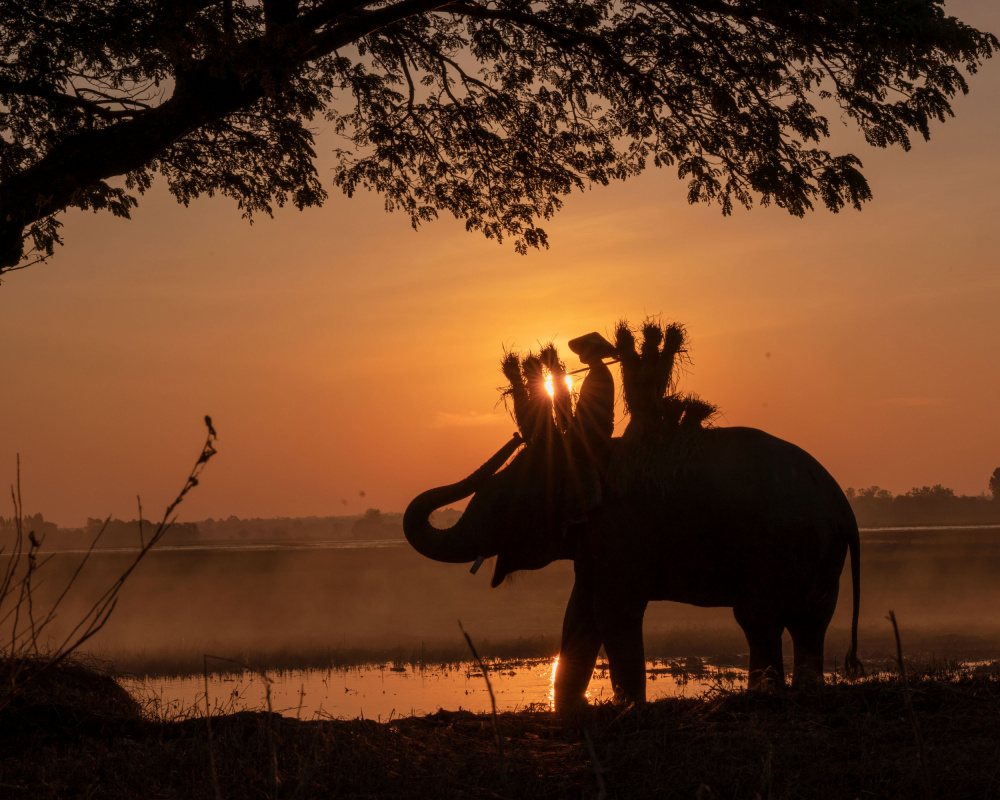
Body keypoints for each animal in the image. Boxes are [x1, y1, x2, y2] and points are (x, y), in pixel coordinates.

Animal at [403, 423, 861, 710]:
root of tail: (842, 504)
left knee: (758, 616)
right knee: (809, 620)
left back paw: (761, 698)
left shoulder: (618, 532)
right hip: (819, 554)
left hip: (778, 544)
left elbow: (611, 611)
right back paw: (804, 693)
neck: (585, 452)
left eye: (503, 503)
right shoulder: (596, 544)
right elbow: (580, 613)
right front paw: (571, 707)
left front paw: (627, 707)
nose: (517, 436)